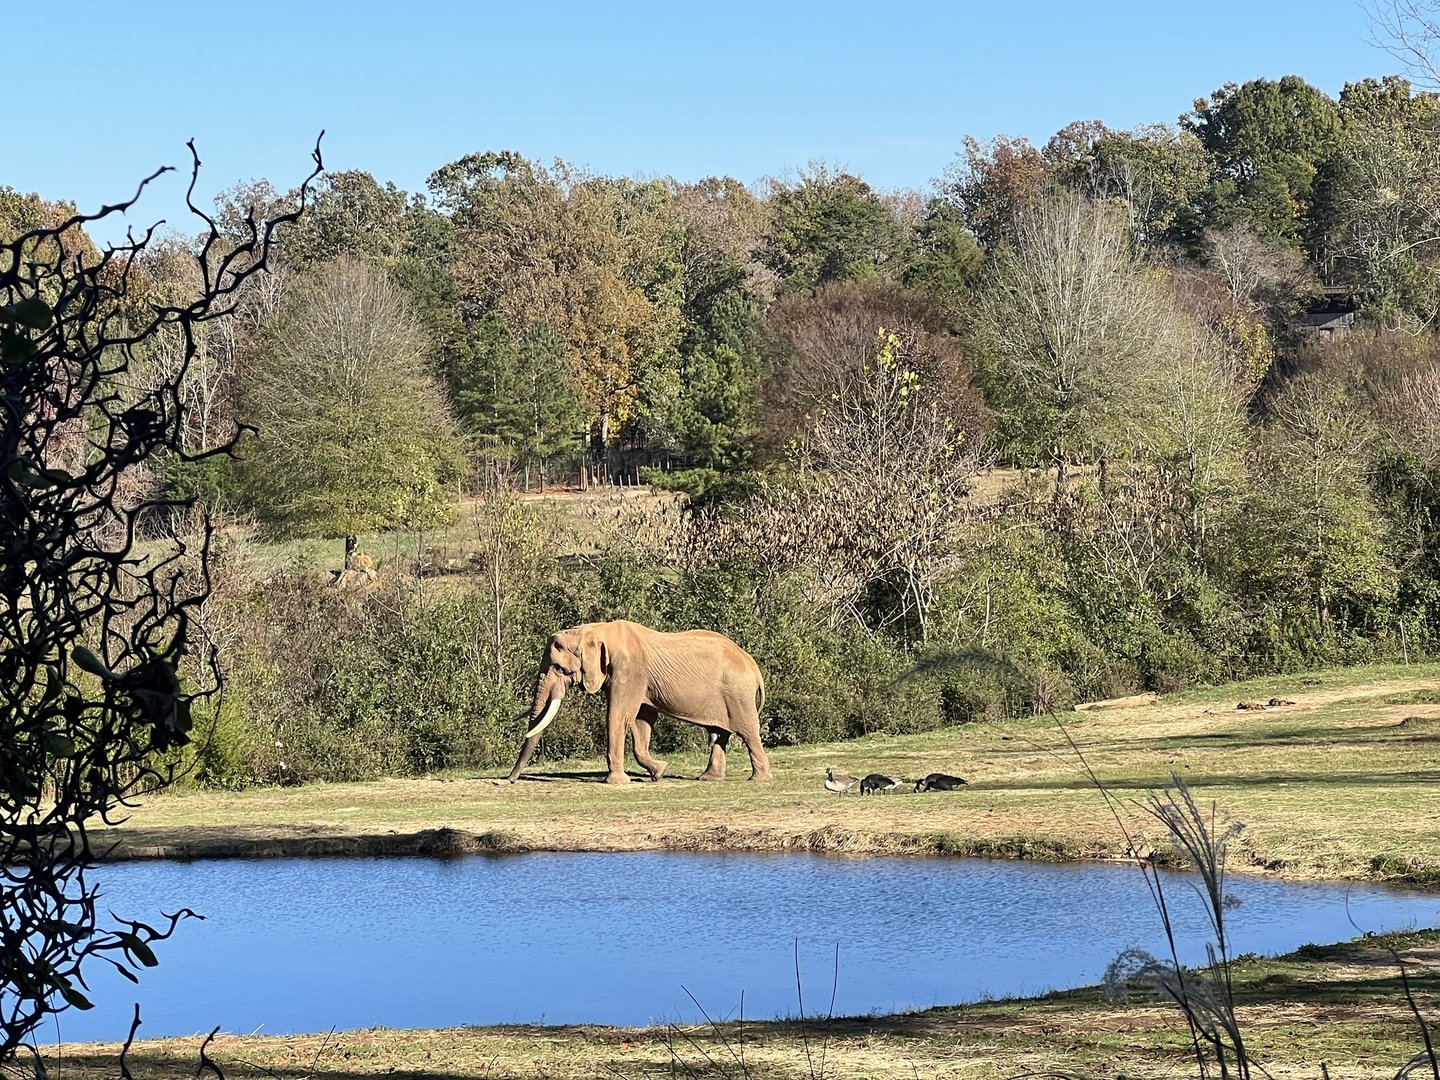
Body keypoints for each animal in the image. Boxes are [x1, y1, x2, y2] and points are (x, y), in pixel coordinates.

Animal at [504, 619, 773, 785]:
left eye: (559, 669)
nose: (508, 780)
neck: (596, 631)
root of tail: (753, 666)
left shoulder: (629, 673)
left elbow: (618, 716)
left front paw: (616, 782)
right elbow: (641, 721)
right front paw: (659, 772)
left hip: (737, 693)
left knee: (748, 732)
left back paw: (758, 779)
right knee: (720, 734)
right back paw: (708, 779)